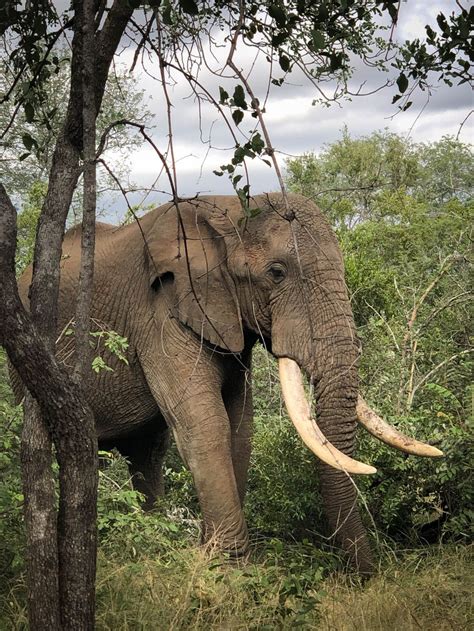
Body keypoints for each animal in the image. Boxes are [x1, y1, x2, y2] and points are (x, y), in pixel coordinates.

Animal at [15, 193, 444, 572]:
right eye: (276, 273)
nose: (368, 576)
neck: (230, 210)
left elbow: (240, 425)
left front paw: (211, 554)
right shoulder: (160, 312)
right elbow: (205, 424)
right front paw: (230, 567)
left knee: (148, 452)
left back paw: (153, 538)